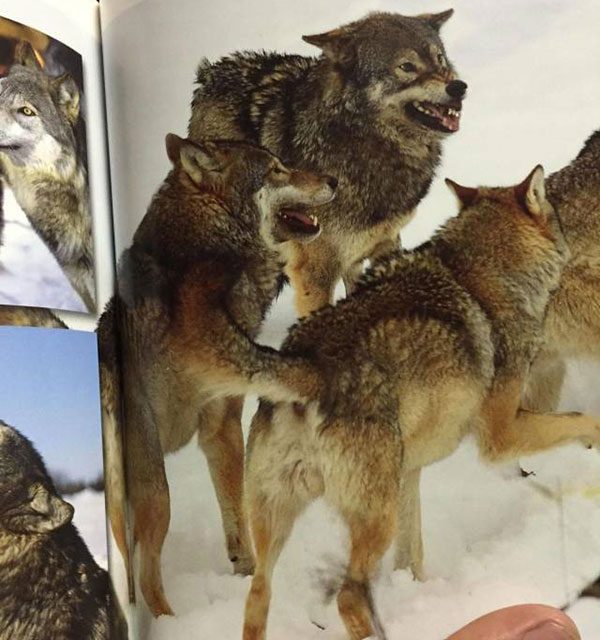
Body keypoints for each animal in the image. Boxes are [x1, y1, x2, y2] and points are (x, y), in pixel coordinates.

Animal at [98, 133, 336, 616]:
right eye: (278, 169)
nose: (334, 180)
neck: (215, 240)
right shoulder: (226, 366)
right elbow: (281, 366)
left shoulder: (219, 425)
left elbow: (234, 513)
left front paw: (243, 569)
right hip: (158, 494)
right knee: (147, 579)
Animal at [190, 10, 466, 316]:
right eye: (406, 66)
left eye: (439, 59)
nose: (459, 87)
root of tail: (210, 73)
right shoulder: (316, 272)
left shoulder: (386, 243)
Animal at [242, 167, 600, 640]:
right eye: (556, 215)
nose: (569, 242)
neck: (478, 273)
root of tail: (307, 366)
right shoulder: (501, 437)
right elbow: (583, 419)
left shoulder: (409, 472)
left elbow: (412, 557)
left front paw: (419, 592)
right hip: (374, 520)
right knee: (348, 596)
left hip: (287, 521)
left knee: (257, 596)